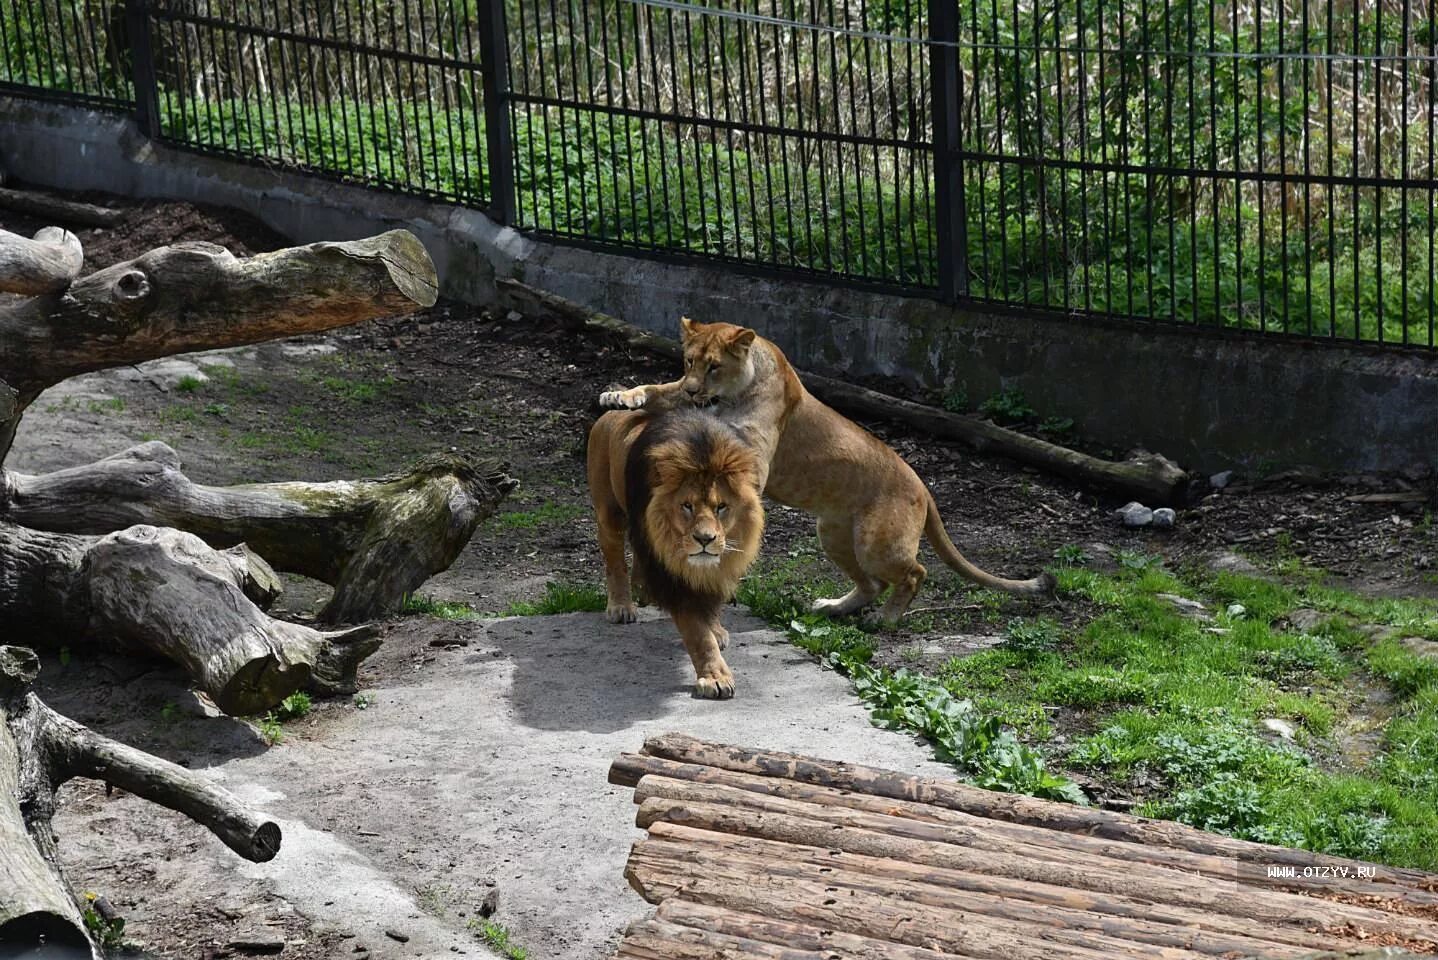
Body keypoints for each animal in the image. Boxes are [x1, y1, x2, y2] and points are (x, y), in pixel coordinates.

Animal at [583, 405, 765, 698]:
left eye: (721, 507)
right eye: (687, 506)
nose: (705, 539)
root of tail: (611, 413)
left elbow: (710, 605)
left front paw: (715, 628)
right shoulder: (672, 577)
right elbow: (697, 633)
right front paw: (715, 676)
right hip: (609, 513)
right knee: (615, 562)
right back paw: (621, 606)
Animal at [598, 319, 1058, 626]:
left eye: (714, 366)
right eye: (690, 360)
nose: (696, 390)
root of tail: (922, 486)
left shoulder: (757, 449)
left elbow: (733, 446)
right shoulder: (680, 391)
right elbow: (658, 390)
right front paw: (619, 395)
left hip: (876, 543)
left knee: (914, 573)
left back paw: (884, 620)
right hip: (834, 534)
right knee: (872, 585)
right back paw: (834, 608)